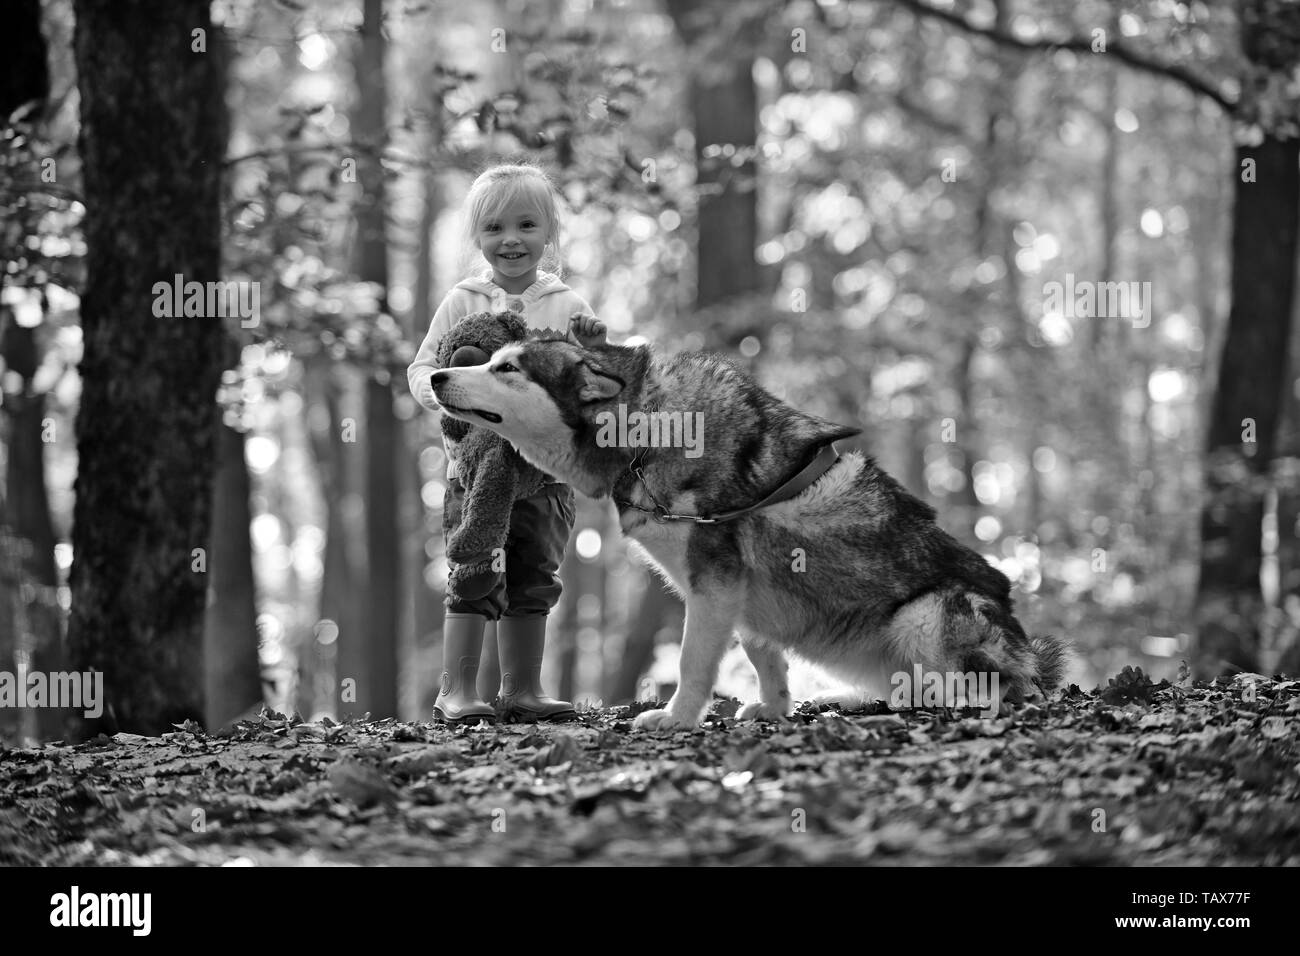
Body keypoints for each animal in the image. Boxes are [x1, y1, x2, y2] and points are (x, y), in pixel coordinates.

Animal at [431, 332, 1071, 728]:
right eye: (489, 360)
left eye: (506, 368)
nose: (436, 374)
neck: (643, 434)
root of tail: (1028, 653)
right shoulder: (742, 594)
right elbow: (766, 661)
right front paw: (776, 709)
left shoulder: (714, 584)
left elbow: (692, 663)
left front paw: (677, 720)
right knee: (898, 686)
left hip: (924, 616)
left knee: (988, 692)